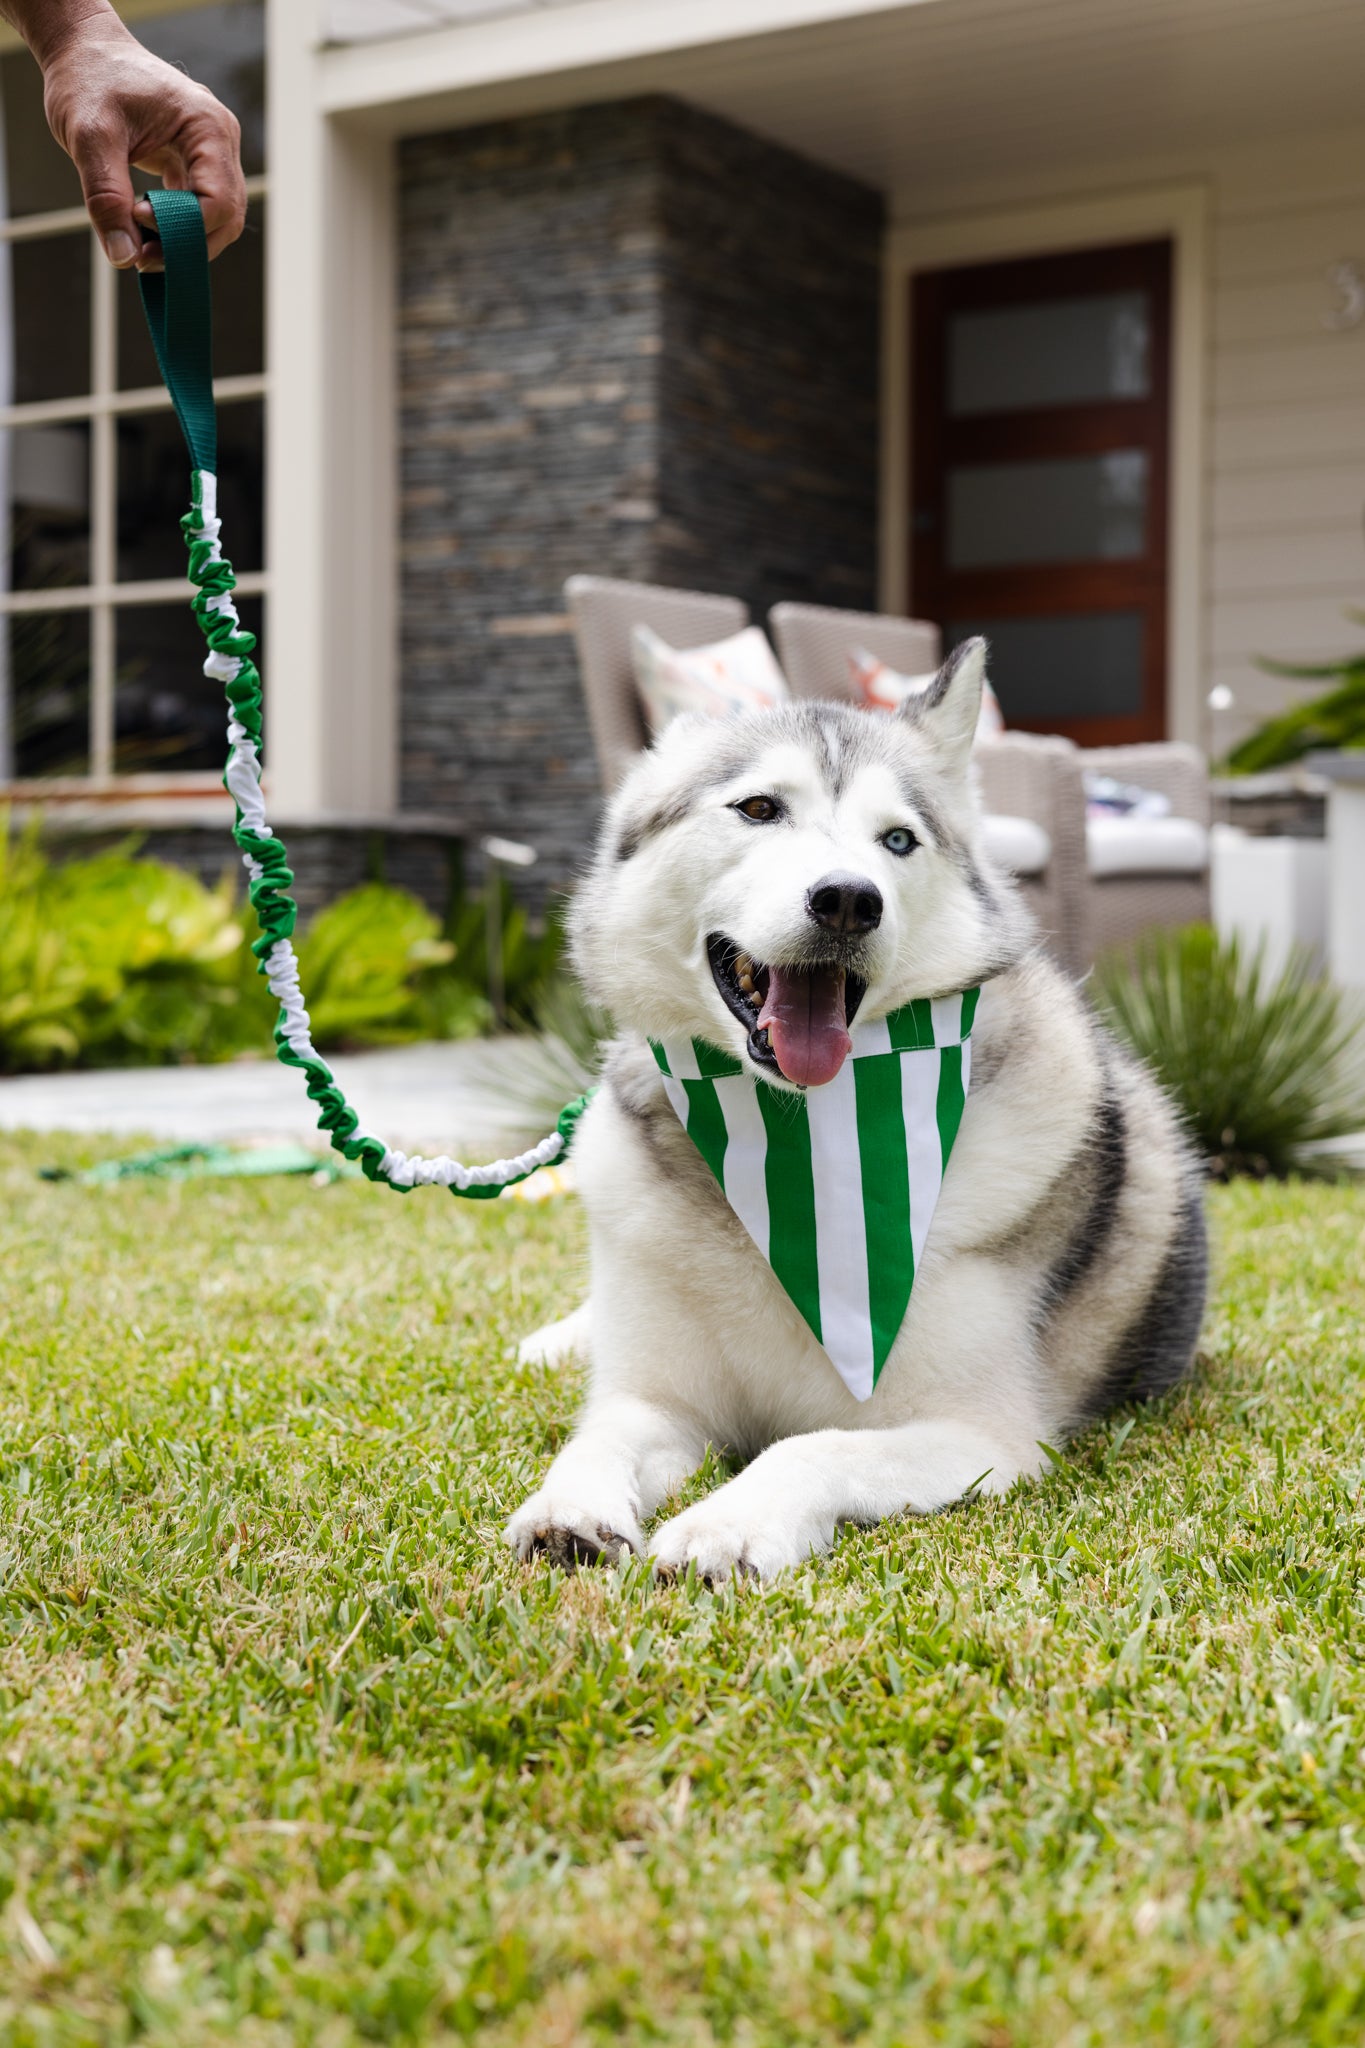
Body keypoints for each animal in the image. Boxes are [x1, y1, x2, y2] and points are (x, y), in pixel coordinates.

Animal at [505, 647, 1203, 1572]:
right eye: (759, 808)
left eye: (896, 839)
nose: (847, 899)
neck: (794, 1142)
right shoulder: (656, 1399)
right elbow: (599, 1437)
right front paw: (569, 1508)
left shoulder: (982, 1437)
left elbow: (808, 1446)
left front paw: (727, 1525)